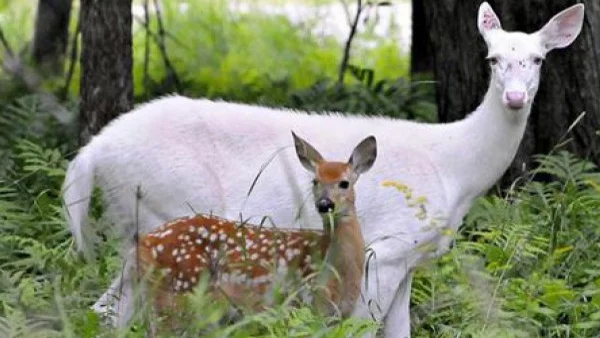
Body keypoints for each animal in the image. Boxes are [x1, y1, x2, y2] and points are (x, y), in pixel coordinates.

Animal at [137, 131, 376, 324]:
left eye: (344, 183)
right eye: (315, 181)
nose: (325, 204)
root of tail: (146, 241)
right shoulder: (310, 302)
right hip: (181, 290)